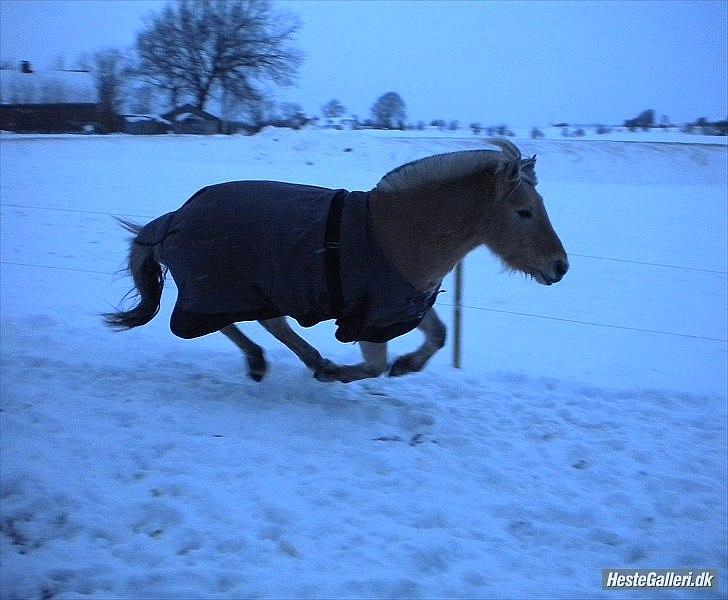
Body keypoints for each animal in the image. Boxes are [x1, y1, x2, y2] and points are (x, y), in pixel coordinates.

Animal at [102, 139, 568, 384]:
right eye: (524, 212)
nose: (561, 266)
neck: (396, 234)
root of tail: (173, 219)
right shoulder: (370, 318)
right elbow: (373, 366)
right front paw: (347, 373)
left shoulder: (407, 305)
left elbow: (438, 336)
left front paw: (406, 366)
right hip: (217, 289)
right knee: (223, 323)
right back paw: (273, 362)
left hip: (260, 287)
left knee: (270, 323)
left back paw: (301, 361)